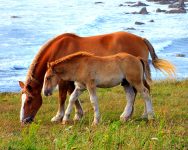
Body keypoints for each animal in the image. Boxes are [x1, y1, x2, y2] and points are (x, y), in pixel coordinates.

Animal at [18, 31, 175, 123]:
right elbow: (72, 97)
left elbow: (65, 97)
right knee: (134, 94)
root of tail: (141, 39)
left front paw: (59, 117)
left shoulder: (70, 82)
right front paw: (74, 116)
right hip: (126, 82)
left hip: (135, 80)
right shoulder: (78, 84)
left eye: (30, 100)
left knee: (145, 91)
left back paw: (147, 115)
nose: (24, 120)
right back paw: (127, 116)